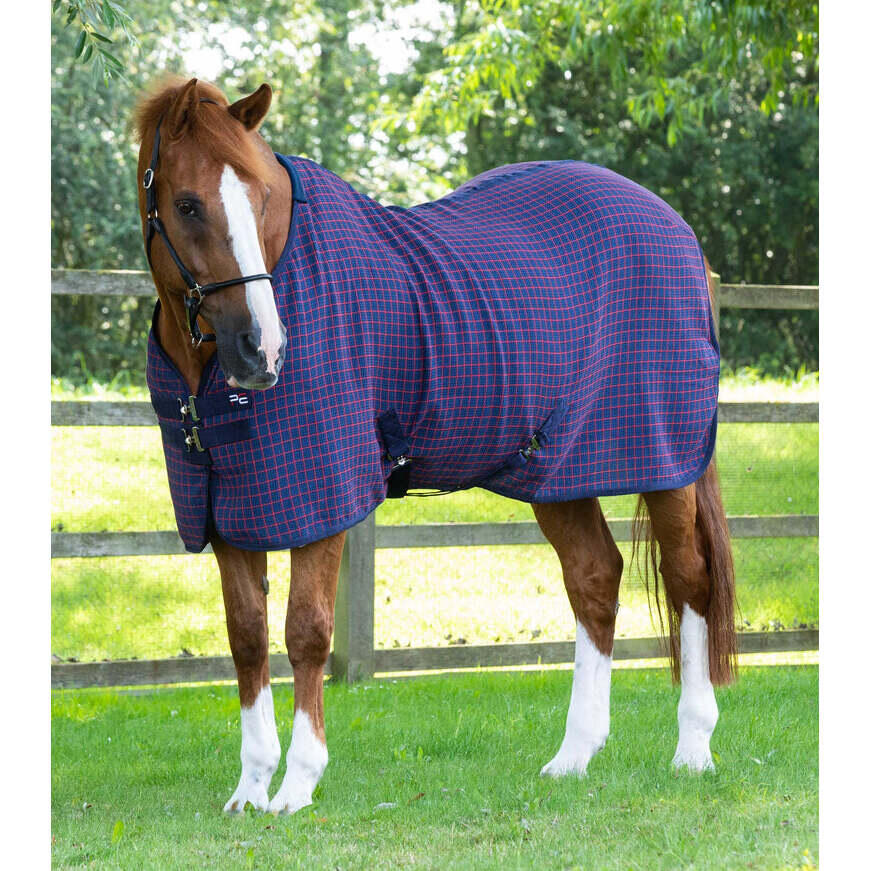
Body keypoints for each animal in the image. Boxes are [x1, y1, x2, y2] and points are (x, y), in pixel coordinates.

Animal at [135, 77, 737, 815]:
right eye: (188, 203)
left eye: (263, 196)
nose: (263, 351)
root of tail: (678, 231)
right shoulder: (228, 509)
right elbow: (247, 638)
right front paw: (250, 789)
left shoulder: (325, 498)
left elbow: (306, 631)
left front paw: (297, 785)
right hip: (558, 468)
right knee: (594, 578)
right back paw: (573, 755)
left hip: (665, 459)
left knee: (689, 581)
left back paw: (693, 749)